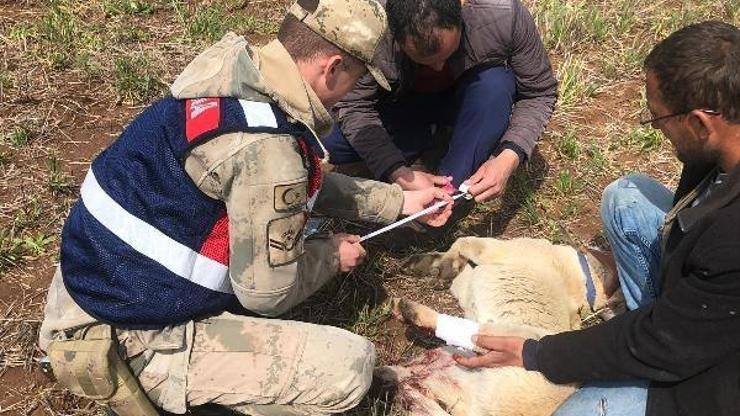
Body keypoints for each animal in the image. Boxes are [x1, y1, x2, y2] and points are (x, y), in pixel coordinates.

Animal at [376, 237, 624, 416]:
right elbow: (460, 264)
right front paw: (430, 264)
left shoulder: (492, 249)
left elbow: (462, 242)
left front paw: (443, 264)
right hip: (450, 377)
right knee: (418, 390)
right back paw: (392, 376)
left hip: (510, 336)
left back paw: (409, 311)